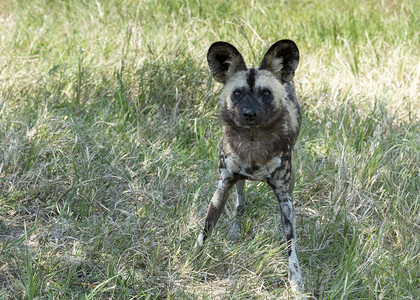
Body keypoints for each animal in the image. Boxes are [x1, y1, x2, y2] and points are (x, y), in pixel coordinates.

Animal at [197, 39, 306, 292]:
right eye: (237, 93)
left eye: (265, 93)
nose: (249, 113)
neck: (253, 142)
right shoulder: (223, 184)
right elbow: (206, 227)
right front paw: (193, 257)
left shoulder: (284, 197)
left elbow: (291, 244)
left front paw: (295, 280)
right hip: (234, 182)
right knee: (240, 202)